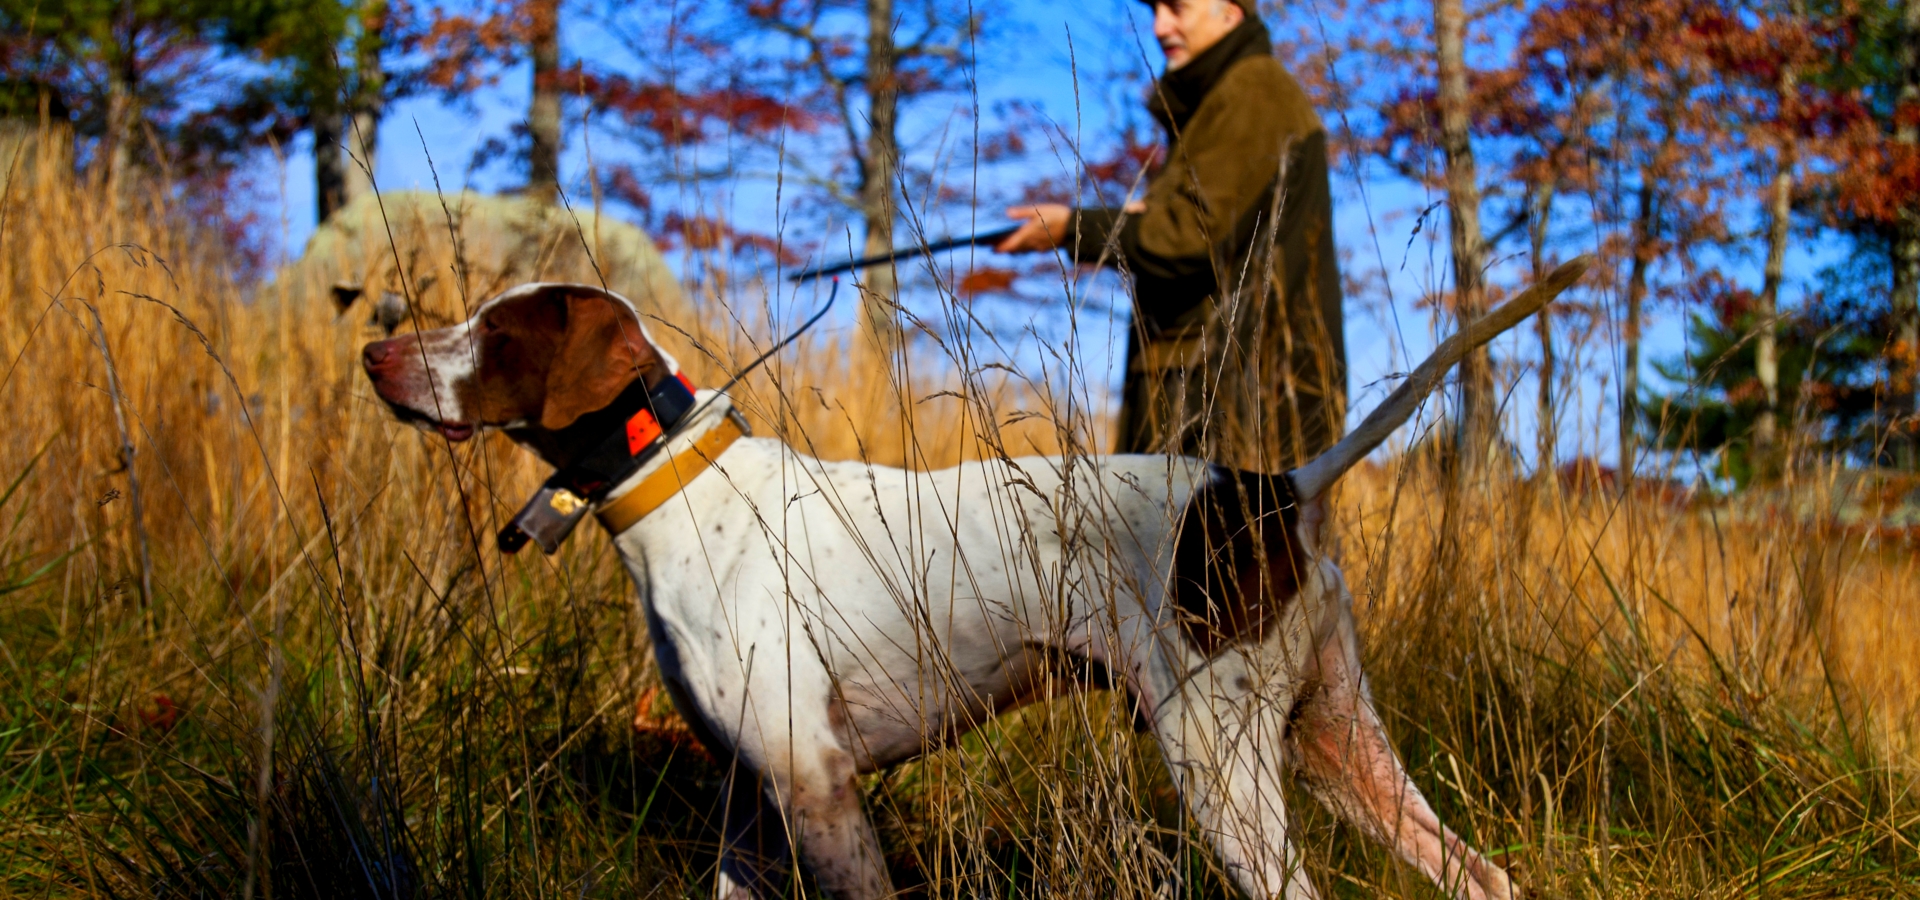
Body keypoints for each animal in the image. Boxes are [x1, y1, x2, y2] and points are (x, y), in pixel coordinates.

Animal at [360, 255, 1589, 894]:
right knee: (1480, 876)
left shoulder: (815, 783)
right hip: (1339, 741)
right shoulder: (753, 803)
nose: (374, 350)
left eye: (495, 335)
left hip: (1224, 764)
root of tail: (1267, 487)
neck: (679, 489)